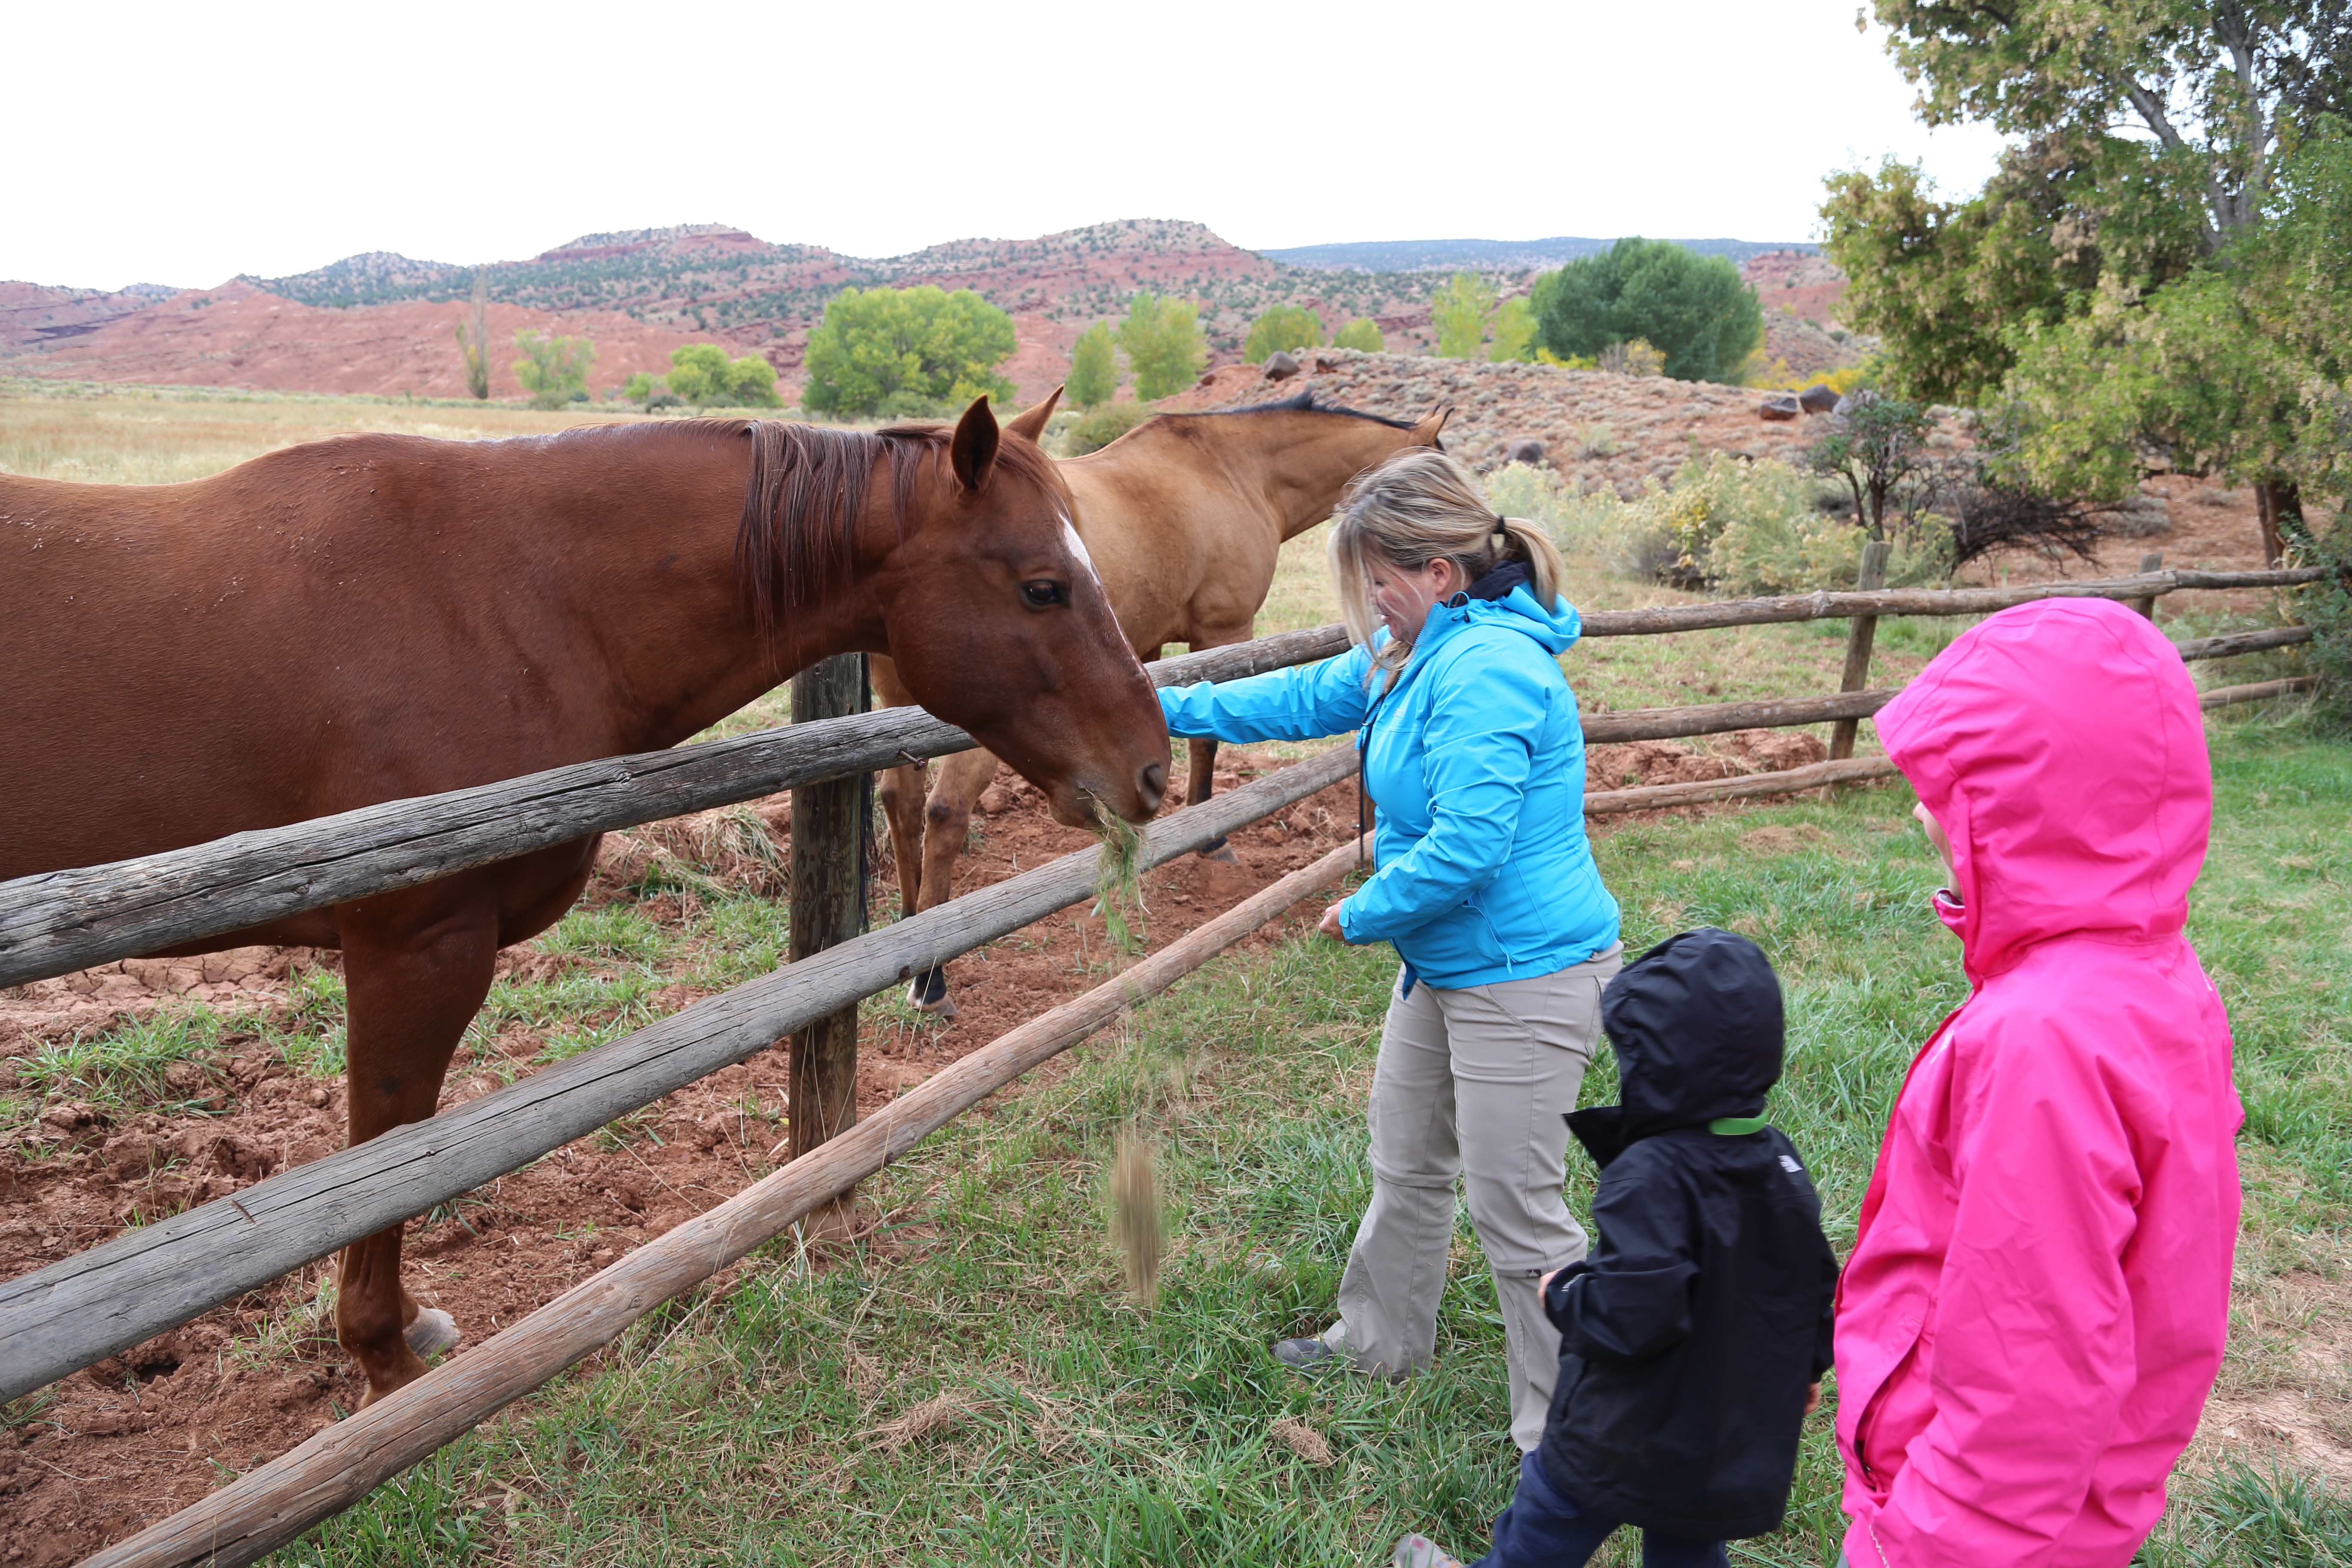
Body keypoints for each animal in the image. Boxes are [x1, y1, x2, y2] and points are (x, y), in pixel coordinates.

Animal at [0, 399, 1171, 1401]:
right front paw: (385, 1354)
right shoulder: (414, 947)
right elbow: (385, 1147)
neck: (501, 597)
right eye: (1041, 587)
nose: (1151, 771)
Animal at [875, 385, 1439, 1011]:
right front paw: (1211, 841)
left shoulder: (1144, 648)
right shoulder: (1224, 631)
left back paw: (910, 929)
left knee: (899, 801)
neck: (1231, 469)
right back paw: (931, 980)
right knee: (944, 812)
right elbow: (1207, 746)